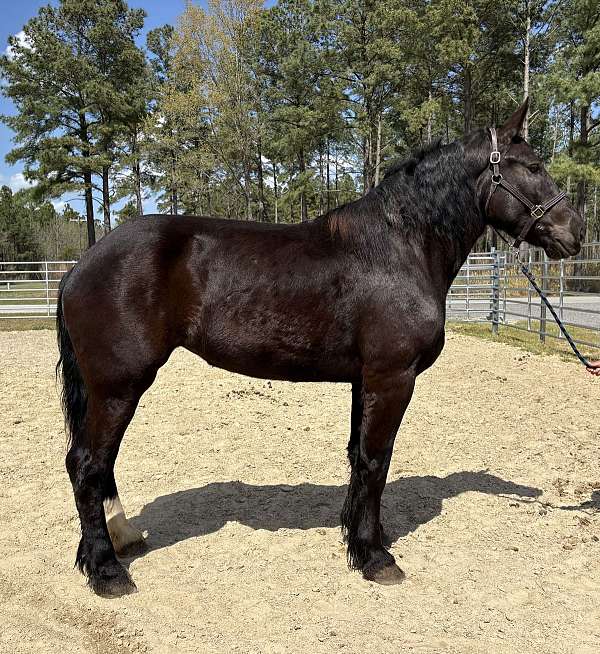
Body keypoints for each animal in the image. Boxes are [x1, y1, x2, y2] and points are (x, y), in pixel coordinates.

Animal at [56, 99, 584, 597]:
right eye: (533, 166)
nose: (575, 230)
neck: (400, 248)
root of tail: (83, 263)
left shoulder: (363, 381)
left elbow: (358, 456)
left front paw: (359, 538)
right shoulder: (392, 379)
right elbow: (376, 460)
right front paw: (375, 557)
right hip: (118, 387)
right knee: (88, 465)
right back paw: (106, 570)